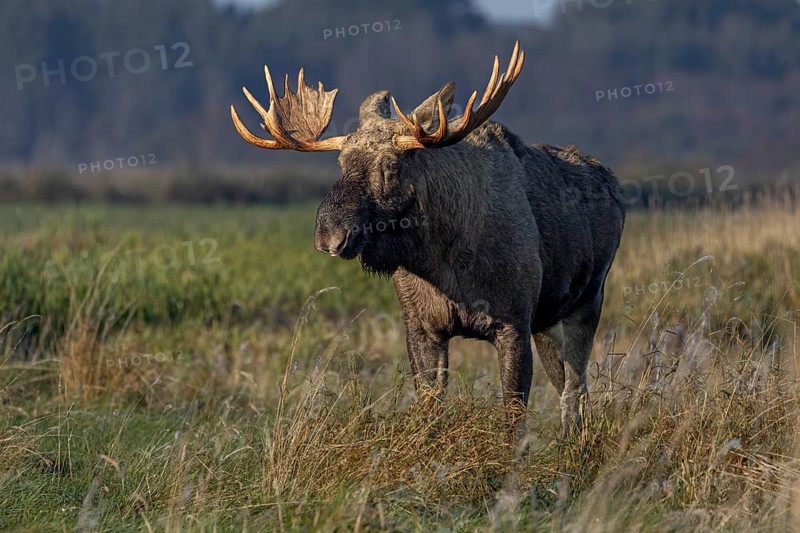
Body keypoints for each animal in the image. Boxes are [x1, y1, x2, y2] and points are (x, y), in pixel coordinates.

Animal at [231, 41, 626, 437]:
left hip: (588, 300)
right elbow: (429, 410)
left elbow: (513, 422)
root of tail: (615, 185)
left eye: (391, 166)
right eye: (340, 162)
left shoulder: (514, 322)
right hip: (547, 321)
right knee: (566, 385)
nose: (329, 235)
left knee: (575, 389)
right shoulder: (423, 327)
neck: (443, 258)